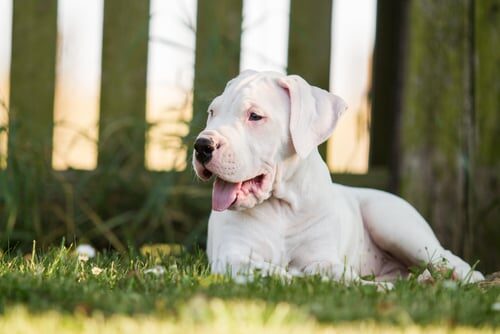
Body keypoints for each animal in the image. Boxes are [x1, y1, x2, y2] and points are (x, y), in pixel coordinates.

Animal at [192, 70, 484, 284]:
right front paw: (286, 274)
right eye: (212, 112)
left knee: (446, 257)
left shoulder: (322, 255)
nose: (201, 146)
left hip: (393, 222)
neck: (281, 208)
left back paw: (456, 276)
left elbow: (328, 269)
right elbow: (262, 269)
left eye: (255, 116)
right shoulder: (231, 254)